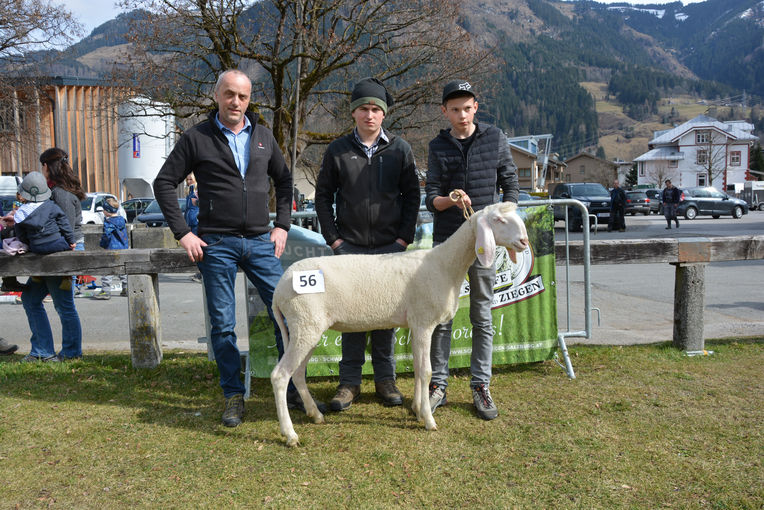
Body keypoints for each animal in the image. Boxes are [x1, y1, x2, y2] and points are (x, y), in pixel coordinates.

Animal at [272, 201, 528, 444]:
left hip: (307, 328)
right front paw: (428, 419)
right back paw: (290, 434)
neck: (444, 264)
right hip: (305, 324)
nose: (524, 242)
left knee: (298, 374)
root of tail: (280, 287)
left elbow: (417, 368)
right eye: (498, 219)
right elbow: (426, 371)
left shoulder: (416, 324)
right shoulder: (424, 322)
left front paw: (417, 409)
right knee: (280, 376)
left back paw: (315, 414)